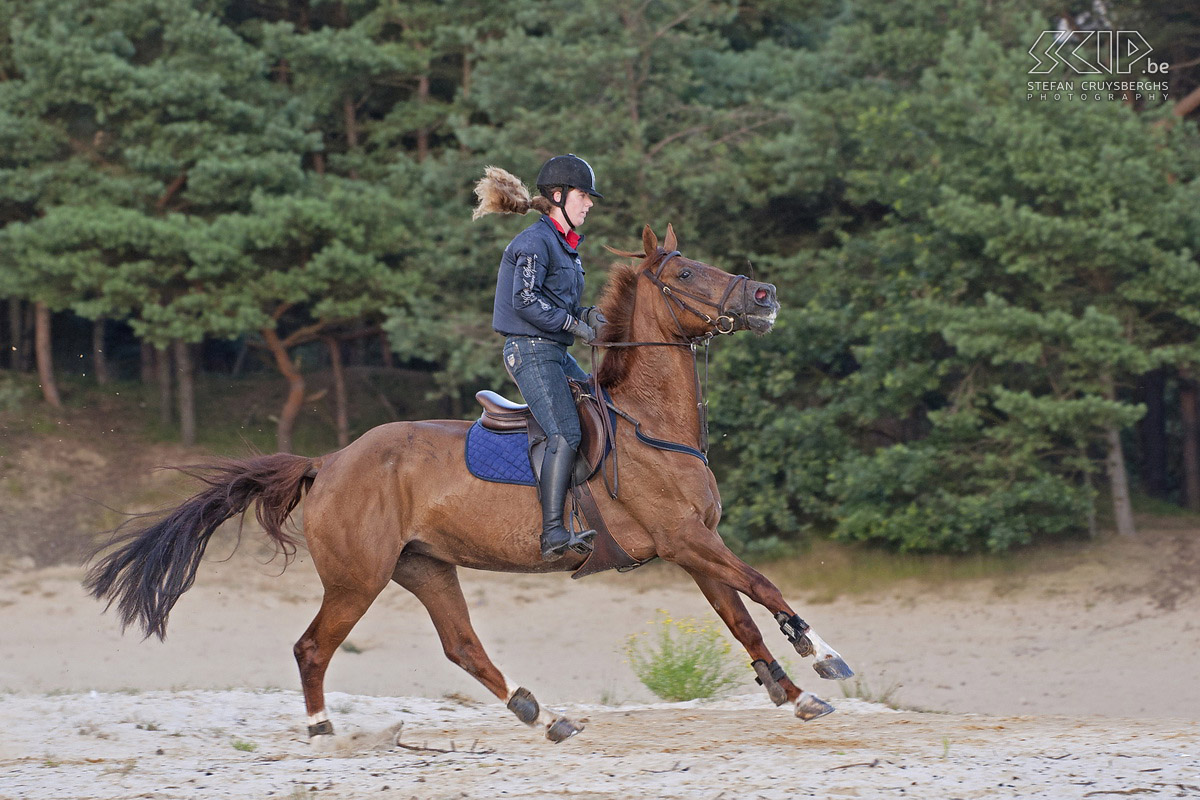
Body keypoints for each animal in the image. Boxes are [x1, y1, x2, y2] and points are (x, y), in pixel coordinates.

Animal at [84, 224, 854, 743]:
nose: (767, 296)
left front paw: (792, 693)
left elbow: (740, 614)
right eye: (689, 272)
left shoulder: (693, 546)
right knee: (313, 648)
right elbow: (763, 587)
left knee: (462, 646)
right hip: (358, 578)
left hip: (425, 567)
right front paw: (824, 658)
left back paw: (541, 714)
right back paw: (324, 729)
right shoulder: (685, 539)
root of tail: (328, 462)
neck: (649, 424)